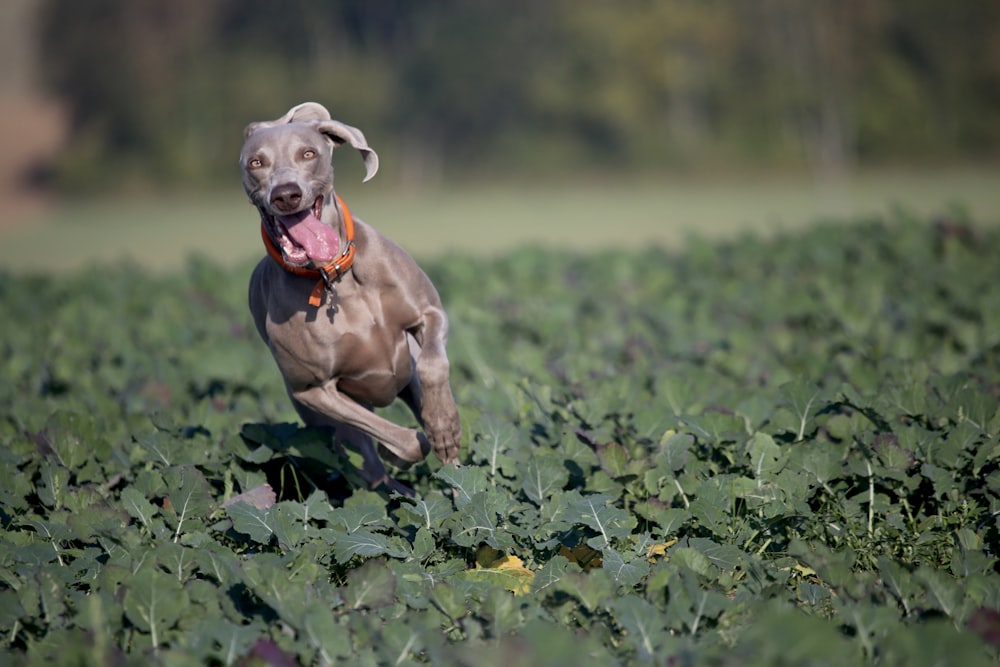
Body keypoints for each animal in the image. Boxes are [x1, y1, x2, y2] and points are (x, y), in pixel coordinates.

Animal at [242, 102, 460, 494]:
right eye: (256, 162)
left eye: (308, 153)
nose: (286, 194)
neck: (332, 278)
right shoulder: (312, 390)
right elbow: (403, 442)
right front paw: (400, 451)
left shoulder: (430, 313)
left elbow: (435, 367)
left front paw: (444, 425)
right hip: (324, 422)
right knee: (370, 465)